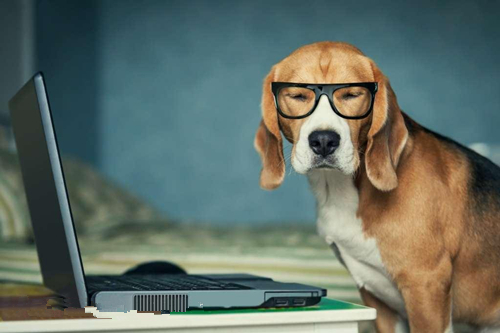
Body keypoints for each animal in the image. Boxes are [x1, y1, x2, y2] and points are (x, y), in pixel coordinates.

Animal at [254, 42, 500, 332]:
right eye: (297, 95)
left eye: (352, 94)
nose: (324, 140)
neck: (343, 190)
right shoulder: (378, 302)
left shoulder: (426, 286)